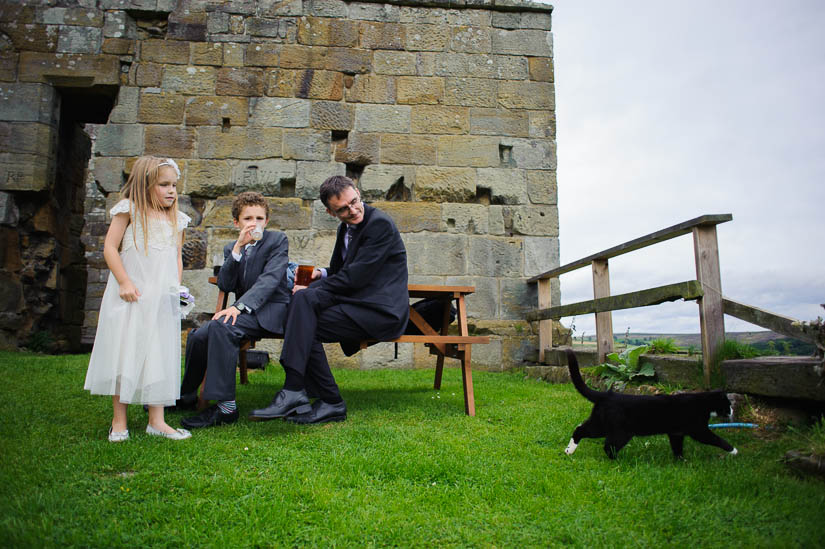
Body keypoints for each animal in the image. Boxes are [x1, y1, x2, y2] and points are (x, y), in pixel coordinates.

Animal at [564, 352, 736, 458]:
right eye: (728, 403)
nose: (733, 411)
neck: (702, 403)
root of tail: (607, 394)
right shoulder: (698, 430)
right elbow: (715, 439)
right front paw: (733, 450)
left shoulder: (676, 433)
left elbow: (677, 447)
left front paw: (681, 460)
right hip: (621, 431)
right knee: (607, 446)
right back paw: (617, 460)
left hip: (600, 424)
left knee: (580, 429)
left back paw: (569, 450)